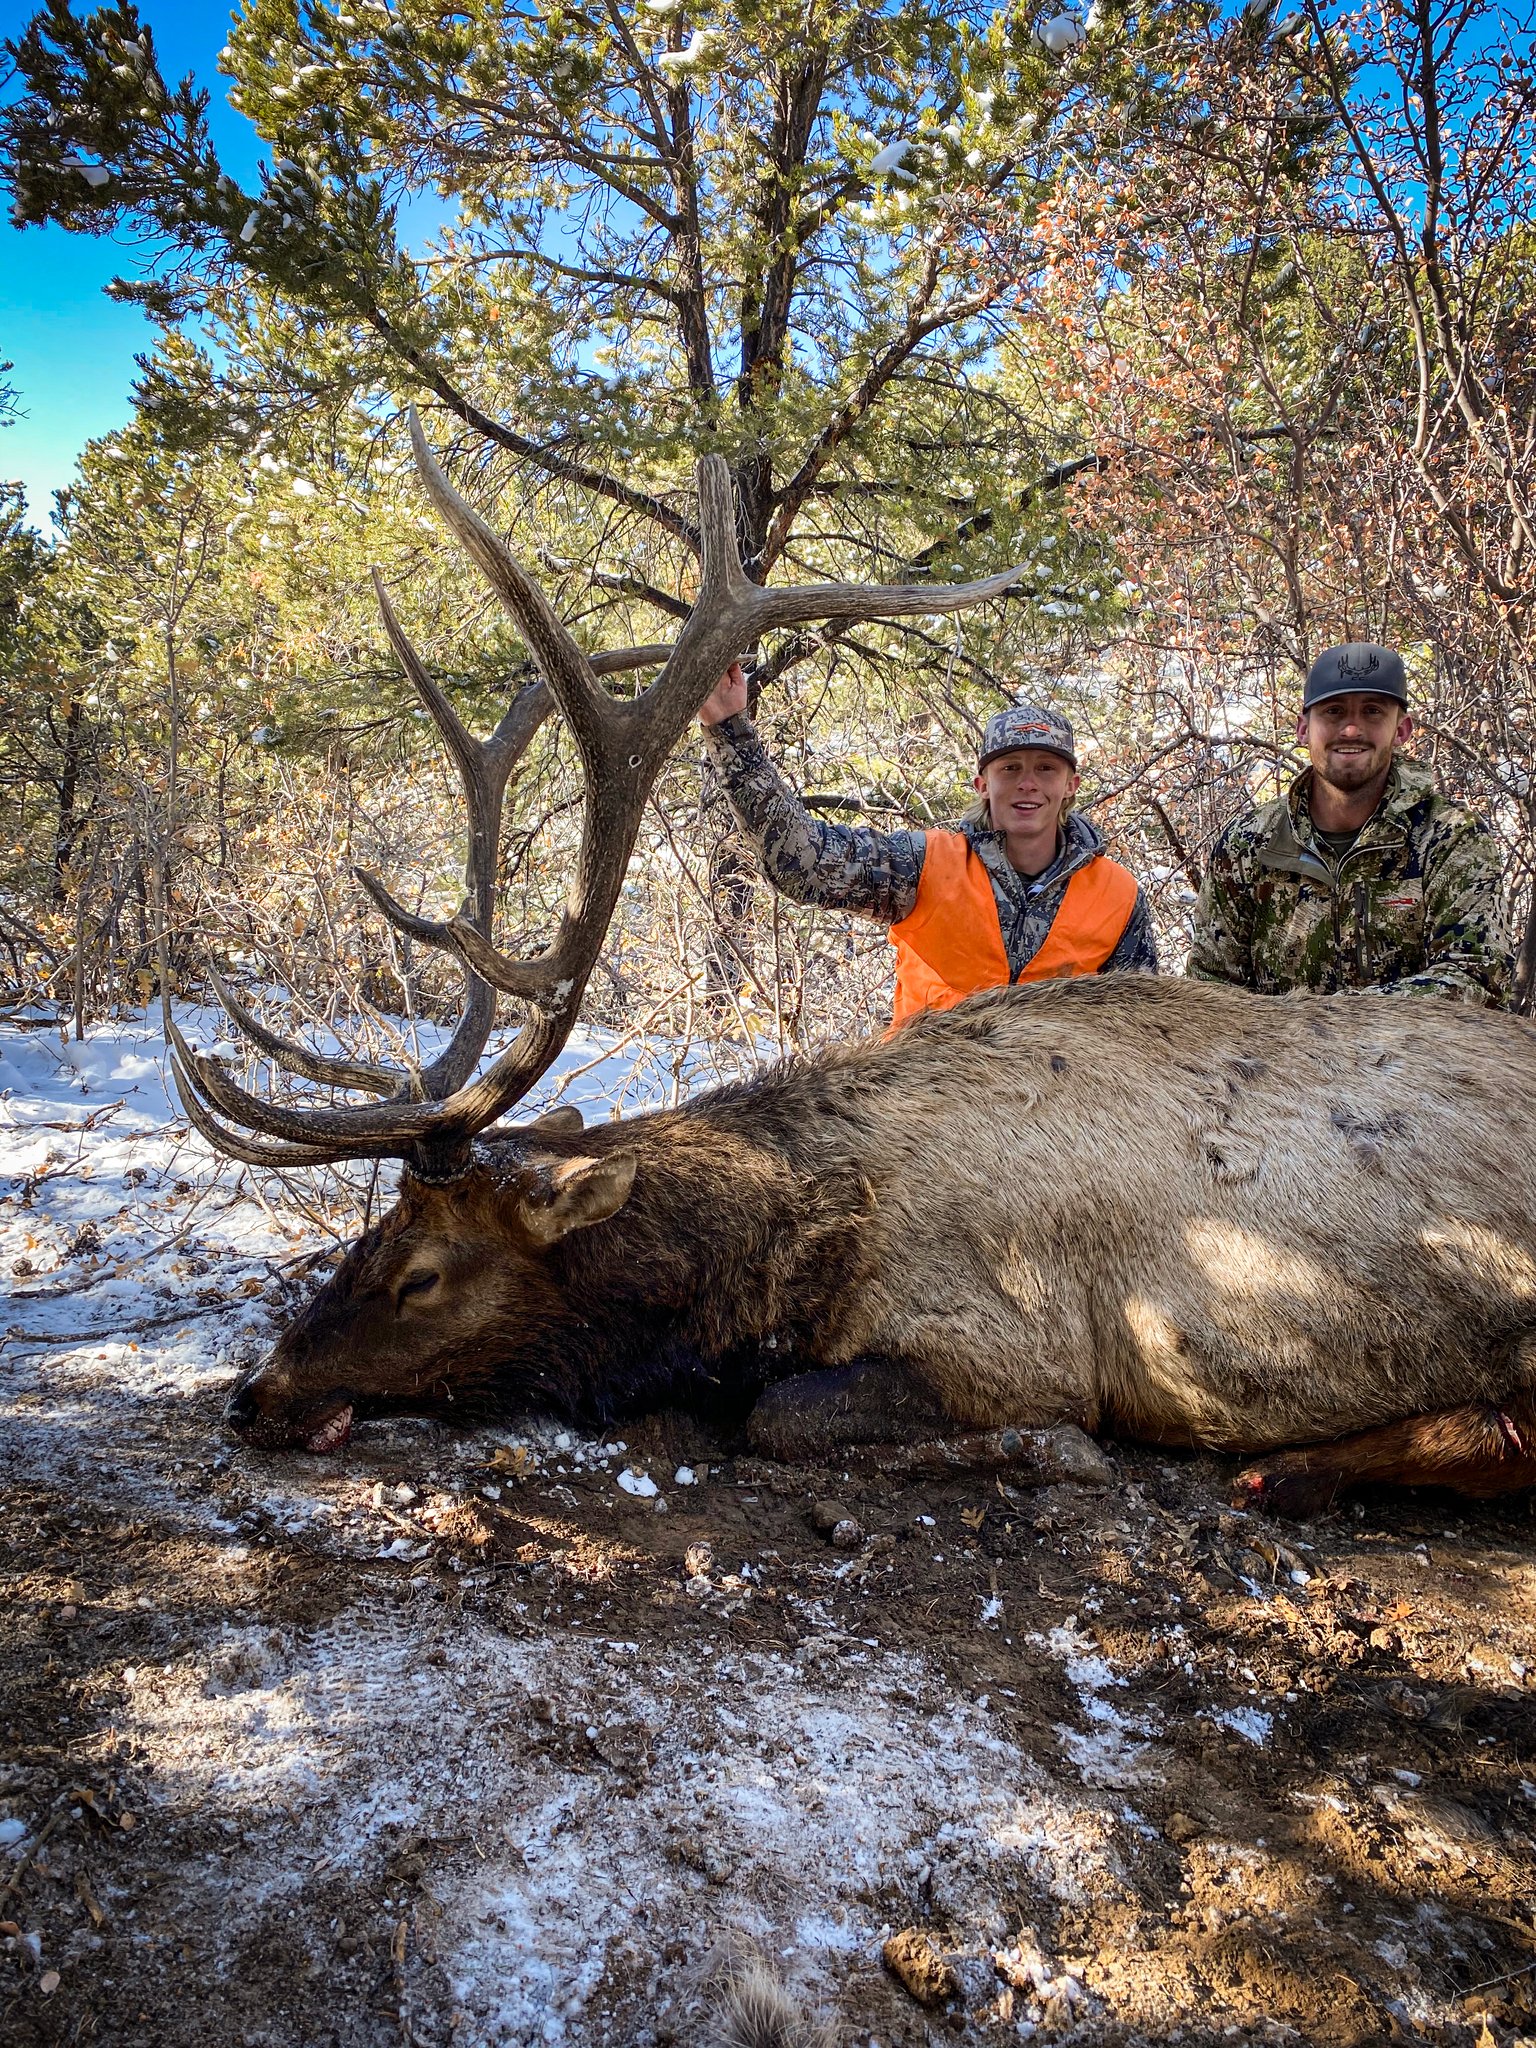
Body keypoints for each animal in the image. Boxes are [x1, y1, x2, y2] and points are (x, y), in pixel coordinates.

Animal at [172, 417, 1536, 1520]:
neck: (779, 1254)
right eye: (369, 1234)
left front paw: (1054, 1453)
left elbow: (783, 1417)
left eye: (420, 1271)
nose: (255, 1391)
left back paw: (1293, 1467)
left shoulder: (1011, 1343)